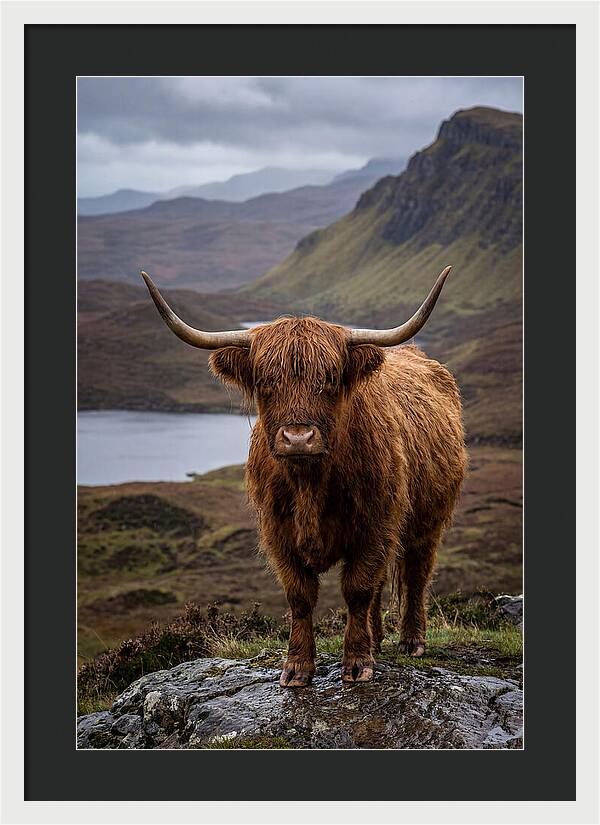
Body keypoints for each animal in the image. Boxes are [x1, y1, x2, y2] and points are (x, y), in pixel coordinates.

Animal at [140, 267, 467, 687]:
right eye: (265, 382)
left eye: (329, 379)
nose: (298, 438)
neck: (310, 483)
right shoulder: (278, 533)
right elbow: (301, 595)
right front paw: (297, 667)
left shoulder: (375, 525)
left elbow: (357, 588)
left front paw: (357, 663)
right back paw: (378, 640)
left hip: (428, 521)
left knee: (415, 573)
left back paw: (412, 641)